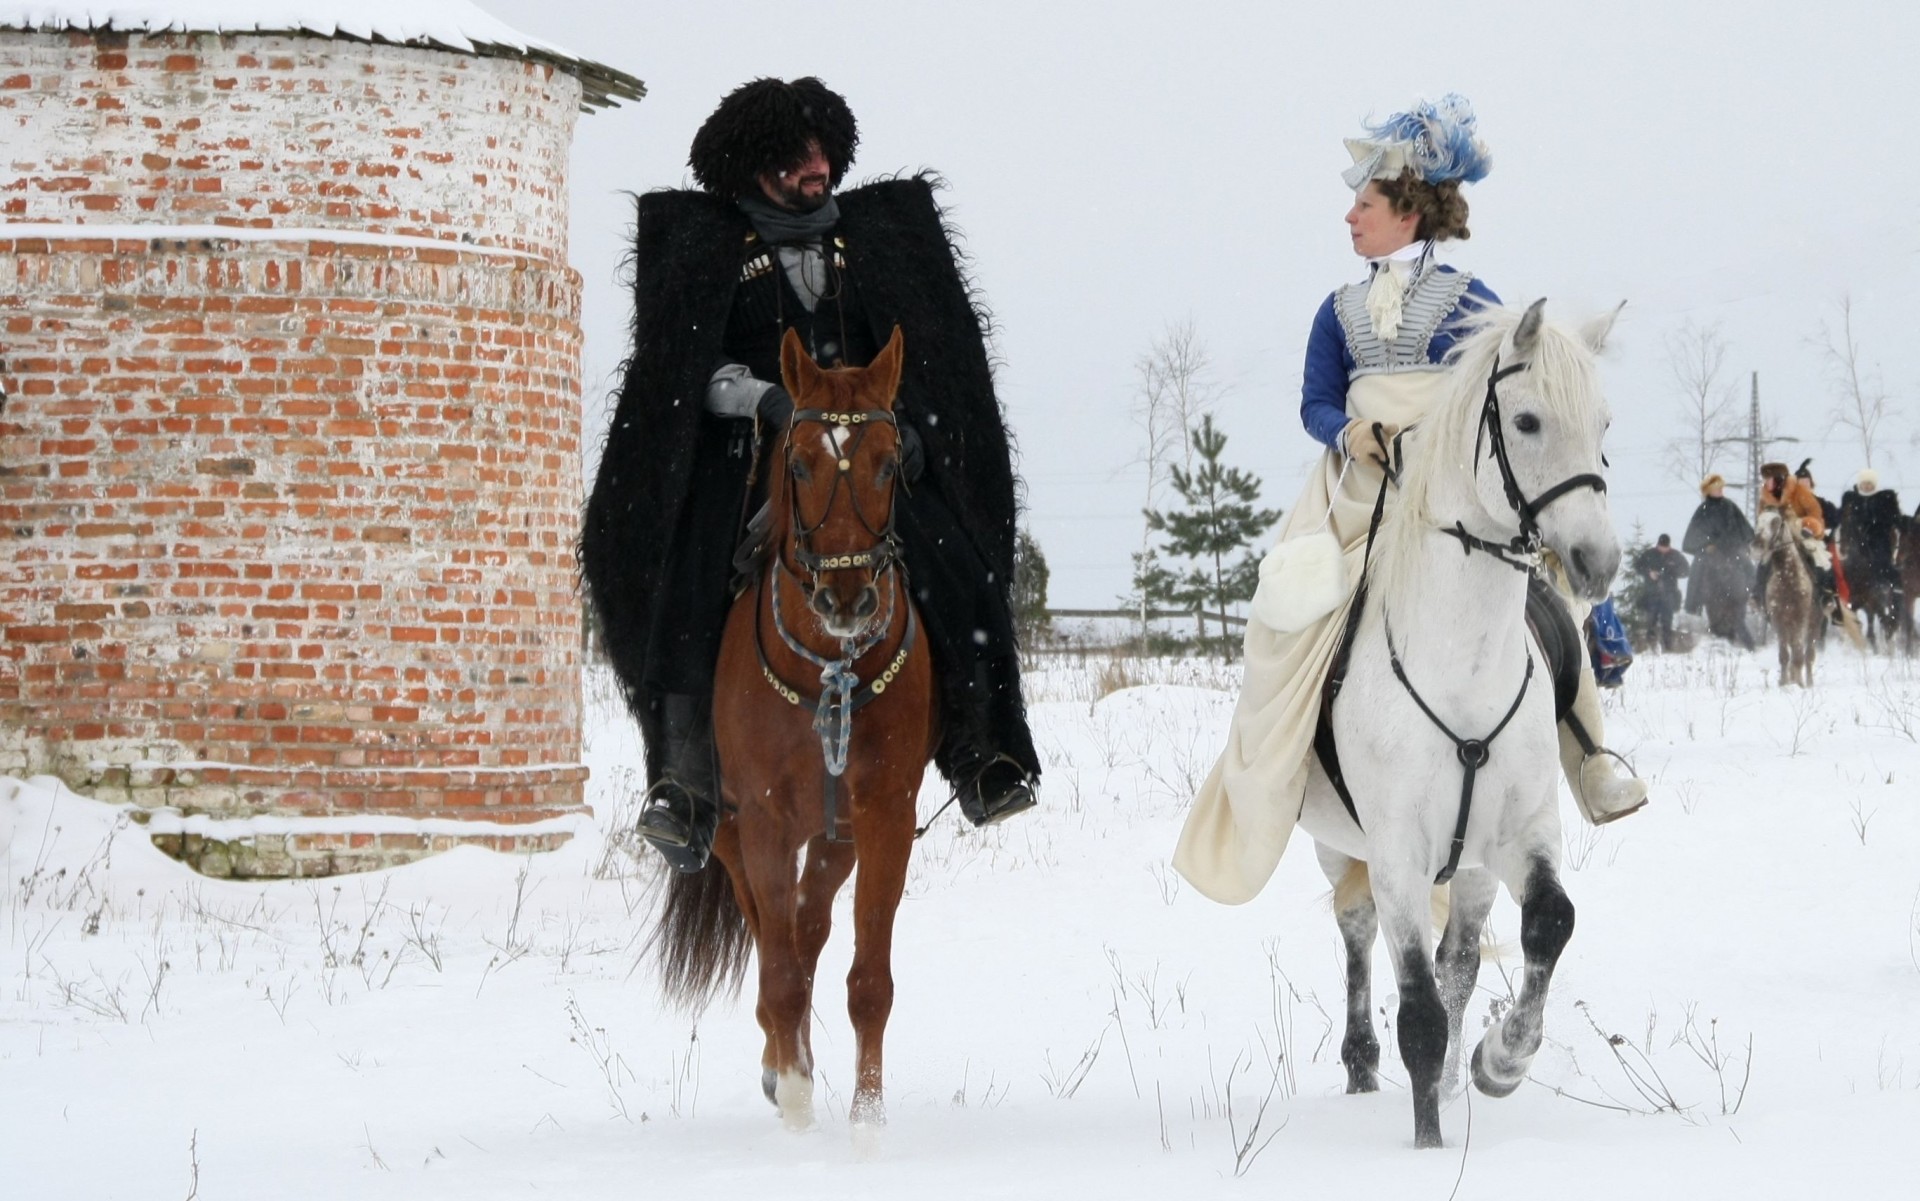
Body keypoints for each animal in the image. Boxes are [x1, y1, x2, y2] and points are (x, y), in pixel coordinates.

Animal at [646, 326, 939, 1138]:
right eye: (800, 462)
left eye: (889, 463)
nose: (847, 598)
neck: (829, 668)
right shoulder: (766, 822)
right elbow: (777, 973)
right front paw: (799, 1102)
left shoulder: (883, 819)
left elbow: (867, 980)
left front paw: (867, 1127)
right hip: (728, 834)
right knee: (770, 938)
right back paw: (784, 1067)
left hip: (835, 838)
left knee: (808, 929)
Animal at [1298, 299, 1621, 1148]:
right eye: (1529, 419)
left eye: (1605, 421)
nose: (1598, 561)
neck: (1462, 665)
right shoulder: (1397, 852)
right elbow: (1415, 1008)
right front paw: (1427, 1143)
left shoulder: (1522, 831)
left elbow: (1548, 922)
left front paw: (1500, 1061)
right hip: (1337, 848)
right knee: (1357, 933)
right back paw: (1361, 1064)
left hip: (1470, 864)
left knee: (1461, 962)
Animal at [1751, 508, 1821, 686]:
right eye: (1757, 521)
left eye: (1776, 522)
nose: (1756, 546)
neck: (1789, 579)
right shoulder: (1778, 620)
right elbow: (1784, 655)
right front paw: (1784, 683)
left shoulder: (1800, 620)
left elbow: (1799, 654)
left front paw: (1800, 684)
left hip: (1812, 626)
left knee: (1809, 655)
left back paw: (1809, 682)